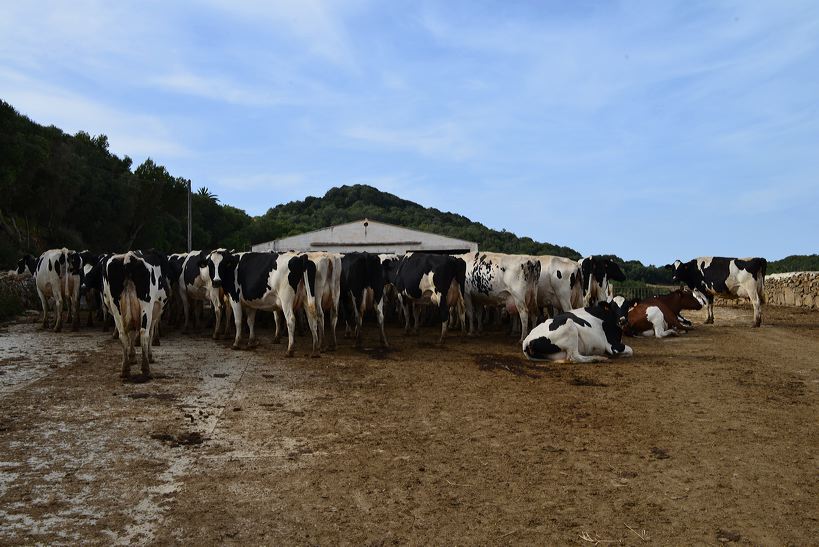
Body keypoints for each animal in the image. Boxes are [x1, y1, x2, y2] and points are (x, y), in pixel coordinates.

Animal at [102, 250, 173, 378]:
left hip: (116, 308)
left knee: (123, 334)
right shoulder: (155, 312)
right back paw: (145, 368)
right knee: (144, 333)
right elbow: (150, 332)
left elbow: (131, 333)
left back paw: (125, 369)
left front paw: (132, 357)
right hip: (146, 305)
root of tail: (128, 257)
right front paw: (149, 356)